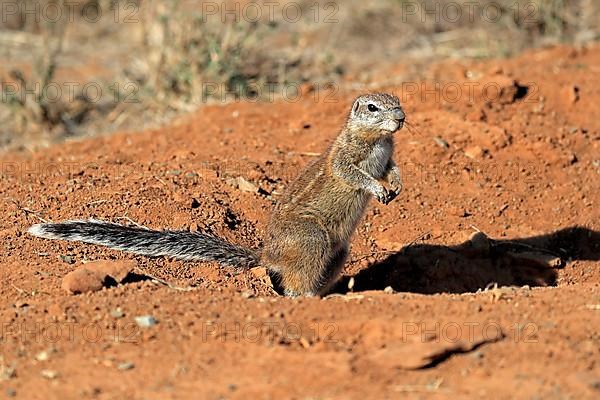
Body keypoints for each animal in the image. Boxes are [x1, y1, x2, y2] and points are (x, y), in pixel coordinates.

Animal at [27, 92, 404, 296]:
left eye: (398, 102)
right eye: (373, 108)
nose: (401, 116)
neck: (378, 140)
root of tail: (268, 256)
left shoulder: (387, 156)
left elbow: (391, 169)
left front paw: (396, 185)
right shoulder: (344, 158)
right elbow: (351, 173)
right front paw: (376, 188)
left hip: (339, 251)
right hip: (312, 239)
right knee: (296, 284)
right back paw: (309, 297)